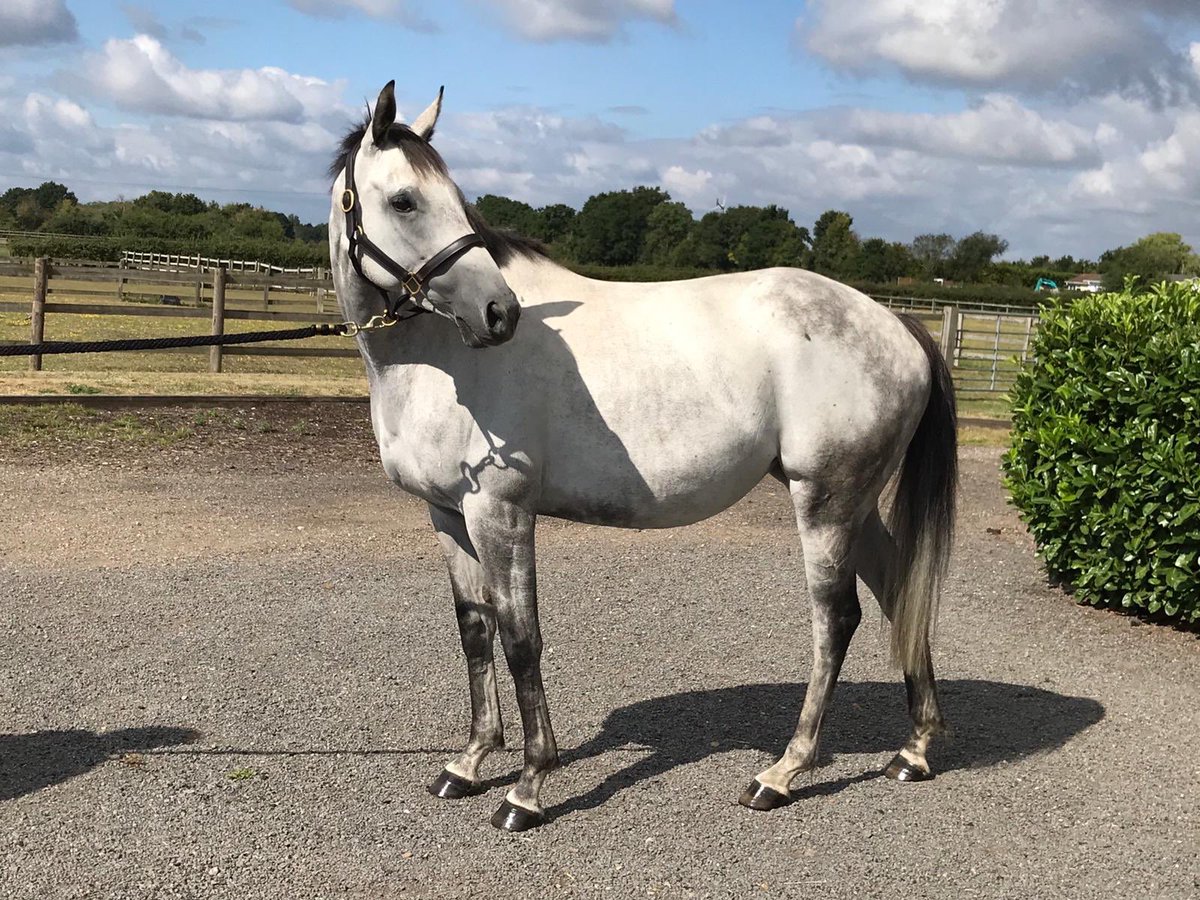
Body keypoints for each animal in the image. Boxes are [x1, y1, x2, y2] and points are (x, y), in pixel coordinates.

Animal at [327, 81, 957, 832]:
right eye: (405, 200)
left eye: (450, 196)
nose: (498, 314)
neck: (438, 360)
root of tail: (895, 323)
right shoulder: (448, 515)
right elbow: (475, 631)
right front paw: (470, 764)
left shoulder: (501, 513)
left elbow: (520, 637)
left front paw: (528, 787)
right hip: (852, 505)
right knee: (899, 593)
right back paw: (913, 750)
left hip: (826, 501)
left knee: (836, 621)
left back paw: (782, 773)